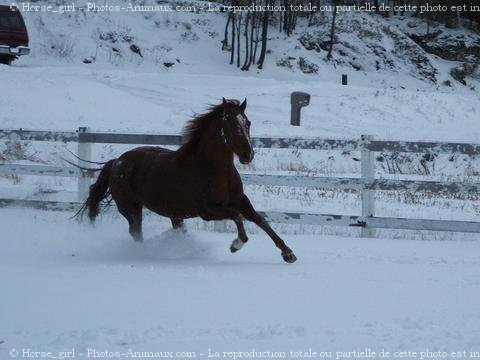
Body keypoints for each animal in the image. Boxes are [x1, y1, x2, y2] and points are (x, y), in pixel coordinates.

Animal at [83, 99, 296, 264]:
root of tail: (116, 162)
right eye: (231, 124)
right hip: (131, 209)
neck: (214, 169)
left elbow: (260, 220)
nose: (248, 155)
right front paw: (236, 245)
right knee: (136, 233)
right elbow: (237, 217)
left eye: (248, 123)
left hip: (174, 214)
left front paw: (288, 254)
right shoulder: (207, 210)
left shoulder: (239, 199)